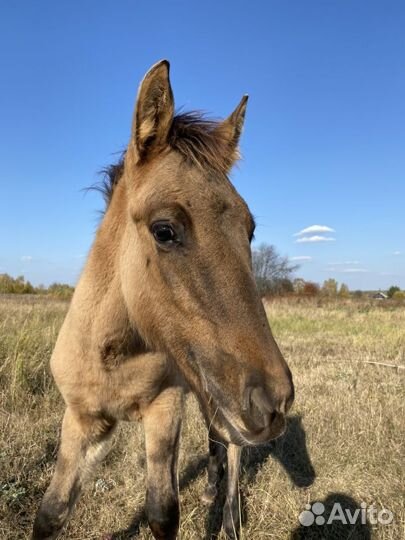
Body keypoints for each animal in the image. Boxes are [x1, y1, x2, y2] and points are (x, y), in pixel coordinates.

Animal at [30, 60, 290, 540]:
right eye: (164, 230)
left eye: (249, 229)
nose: (275, 403)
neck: (112, 354)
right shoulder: (80, 417)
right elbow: (51, 511)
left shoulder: (165, 411)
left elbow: (161, 511)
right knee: (219, 436)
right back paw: (209, 491)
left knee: (232, 447)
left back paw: (229, 519)